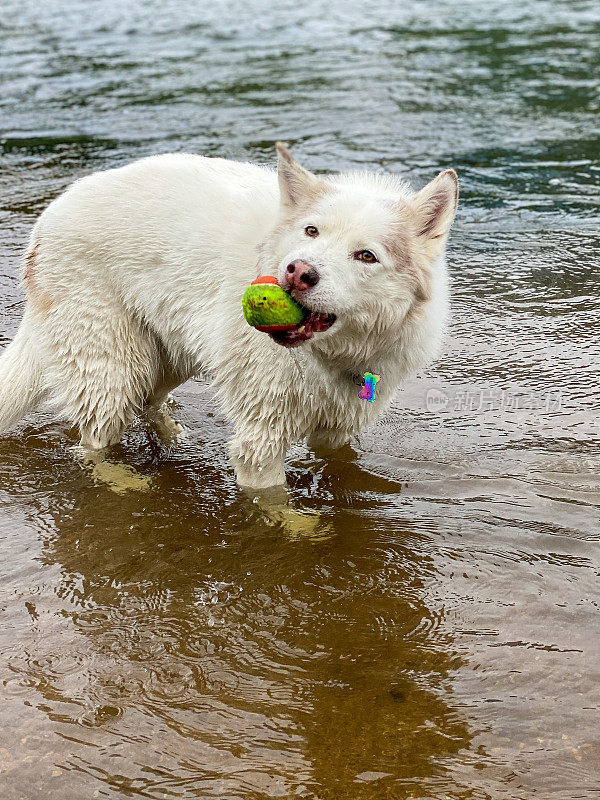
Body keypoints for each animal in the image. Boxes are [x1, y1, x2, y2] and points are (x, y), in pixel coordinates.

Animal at [0, 145, 454, 488]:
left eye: (366, 256)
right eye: (312, 231)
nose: (298, 272)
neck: (329, 355)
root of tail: (47, 218)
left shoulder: (338, 431)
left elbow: (340, 466)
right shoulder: (261, 435)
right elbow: (272, 499)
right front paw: (298, 529)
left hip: (173, 350)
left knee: (149, 401)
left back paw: (174, 437)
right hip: (111, 368)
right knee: (93, 443)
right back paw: (126, 480)